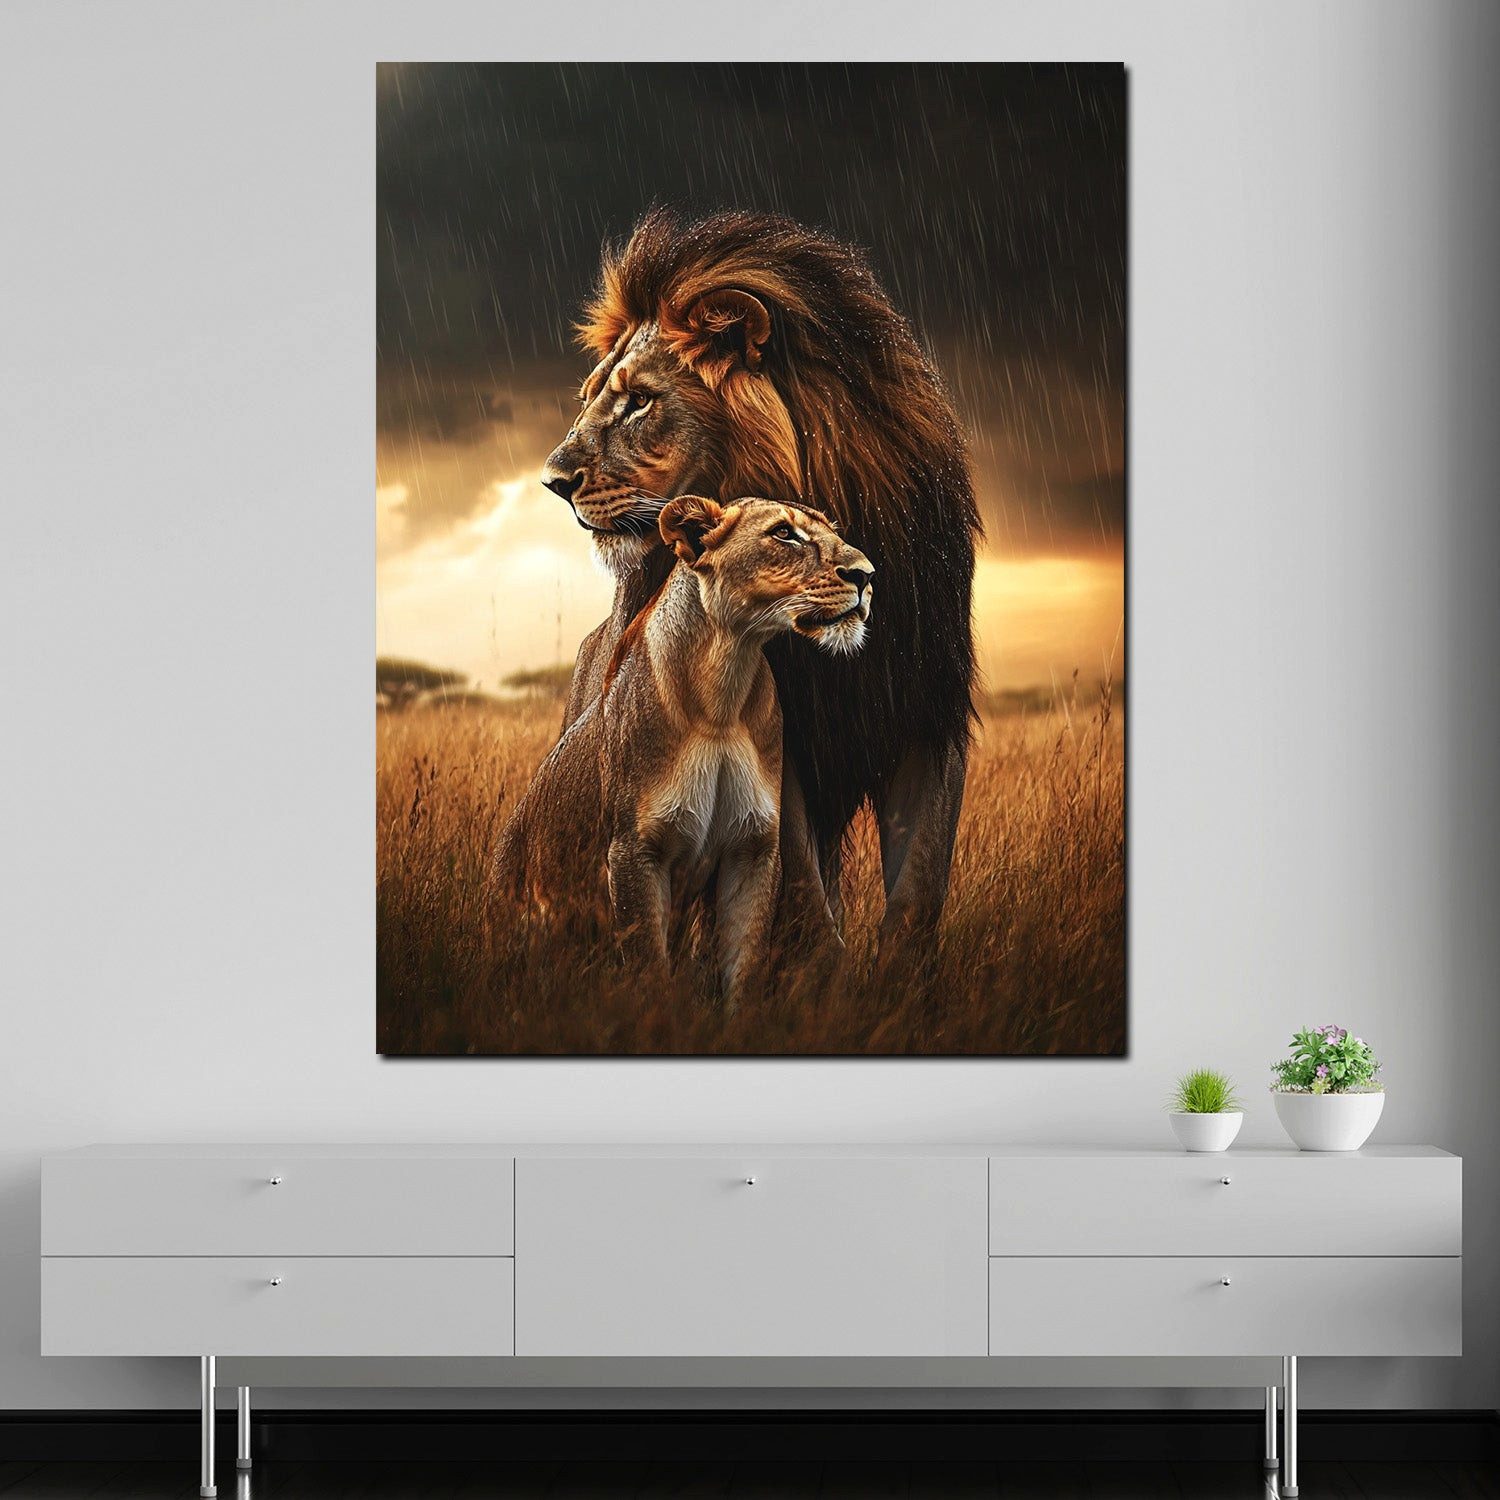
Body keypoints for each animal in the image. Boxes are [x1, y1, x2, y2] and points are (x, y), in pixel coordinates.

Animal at [494, 495, 873, 1010]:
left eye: (833, 530)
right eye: (784, 534)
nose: (867, 575)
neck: (723, 688)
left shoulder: (752, 849)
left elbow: (744, 970)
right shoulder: (634, 851)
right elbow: (648, 971)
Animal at [542, 209, 979, 958]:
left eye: (638, 402)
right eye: (592, 398)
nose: (552, 481)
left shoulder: (929, 705)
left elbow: (919, 888)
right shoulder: (781, 741)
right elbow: (804, 894)